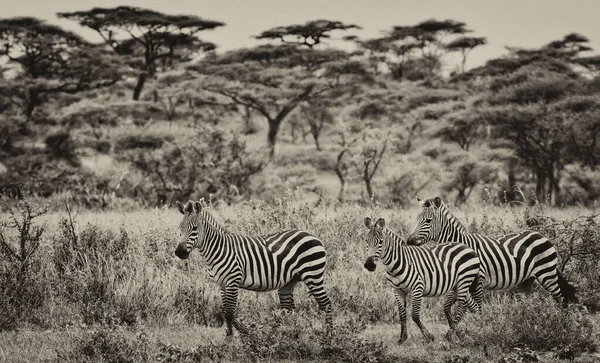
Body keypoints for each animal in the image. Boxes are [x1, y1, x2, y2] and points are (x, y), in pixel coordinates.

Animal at [175, 200, 332, 336]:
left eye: (195, 228)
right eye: (179, 227)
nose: (179, 252)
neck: (218, 249)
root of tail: (312, 235)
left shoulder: (232, 282)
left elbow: (229, 313)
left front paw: (231, 339)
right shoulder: (222, 284)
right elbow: (226, 312)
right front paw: (241, 332)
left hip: (313, 275)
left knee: (326, 303)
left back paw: (329, 336)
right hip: (289, 282)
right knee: (289, 309)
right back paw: (289, 336)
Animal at [360, 216, 482, 344]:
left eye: (381, 242)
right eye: (366, 241)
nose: (369, 265)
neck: (396, 265)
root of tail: (468, 247)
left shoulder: (417, 288)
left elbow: (414, 315)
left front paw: (428, 336)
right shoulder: (397, 291)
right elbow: (402, 315)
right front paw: (402, 338)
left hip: (464, 280)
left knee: (462, 307)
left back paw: (452, 334)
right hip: (457, 285)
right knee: (471, 306)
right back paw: (474, 327)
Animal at [408, 198, 576, 308]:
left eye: (428, 221)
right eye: (416, 219)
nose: (409, 241)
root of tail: (542, 235)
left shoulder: (478, 280)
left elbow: (477, 306)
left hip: (546, 273)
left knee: (561, 298)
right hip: (527, 280)